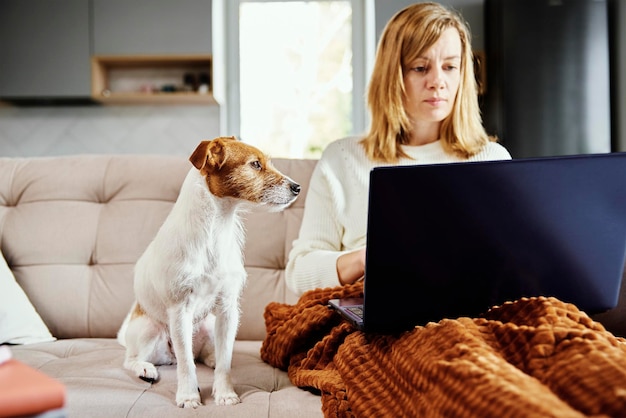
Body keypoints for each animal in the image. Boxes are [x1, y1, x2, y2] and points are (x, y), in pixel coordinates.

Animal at [119, 137, 300, 408]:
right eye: (255, 164)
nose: (297, 187)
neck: (216, 228)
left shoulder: (227, 309)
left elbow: (225, 362)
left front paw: (225, 393)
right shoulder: (180, 310)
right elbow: (186, 365)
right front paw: (188, 396)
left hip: (209, 325)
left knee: (204, 355)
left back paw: (212, 358)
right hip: (149, 330)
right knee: (137, 359)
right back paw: (145, 368)